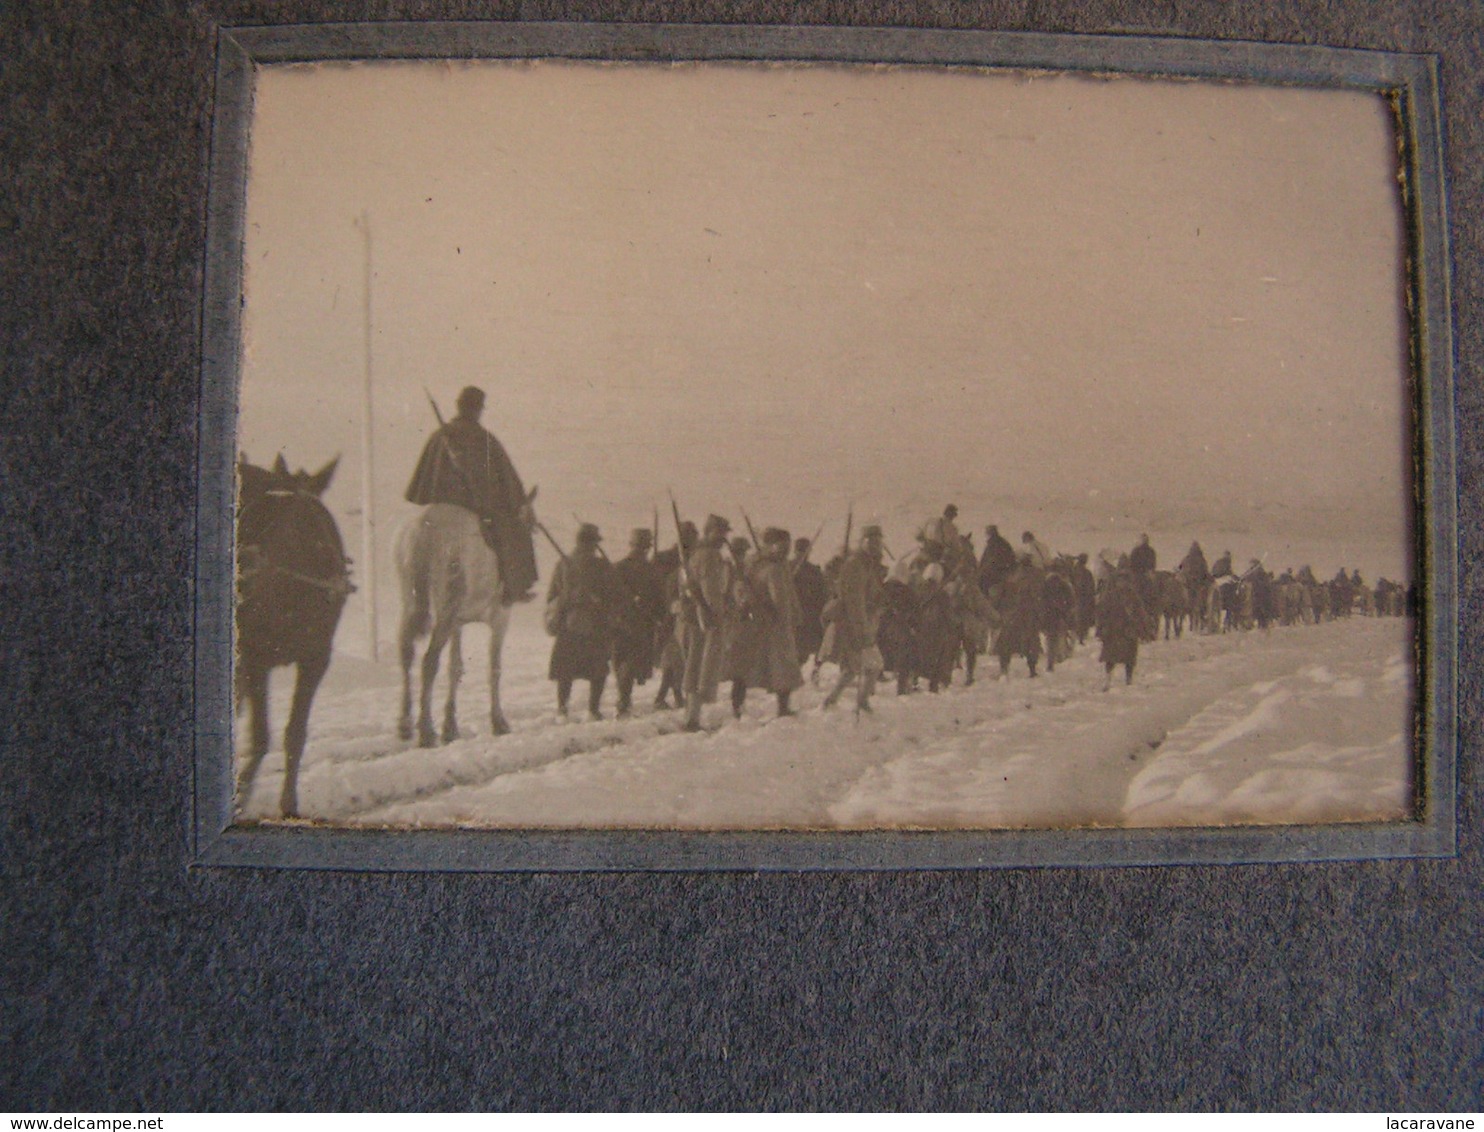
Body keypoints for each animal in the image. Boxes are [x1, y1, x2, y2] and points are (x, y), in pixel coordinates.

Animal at [237, 456, 353, 818]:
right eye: (243, 507)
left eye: (272, 515)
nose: (243, 562)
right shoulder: (254, 655)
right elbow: (260, 735)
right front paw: (240, 795)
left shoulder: (315, 657)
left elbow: (295, 732)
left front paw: (288, 803)